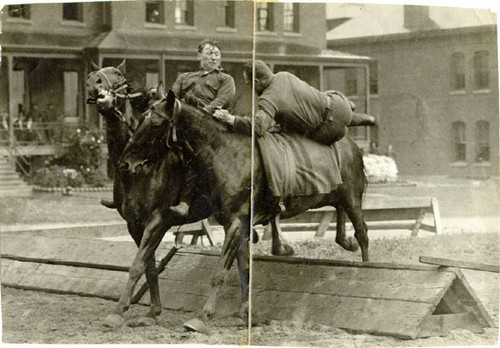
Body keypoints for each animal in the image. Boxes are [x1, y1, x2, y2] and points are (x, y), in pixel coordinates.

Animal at [117, 89, 368, 332]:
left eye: (155, 124)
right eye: (139, 120)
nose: (125, 163)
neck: (225, 155)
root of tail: (350, 143)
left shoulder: (235, 223)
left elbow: (220, 272)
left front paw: (202, 317)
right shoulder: (166, 218)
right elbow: (143, 263)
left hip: (352, 199)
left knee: (363, 234)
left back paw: (365, 265)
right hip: (338, 198)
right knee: (341, 217)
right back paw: (344, 241)